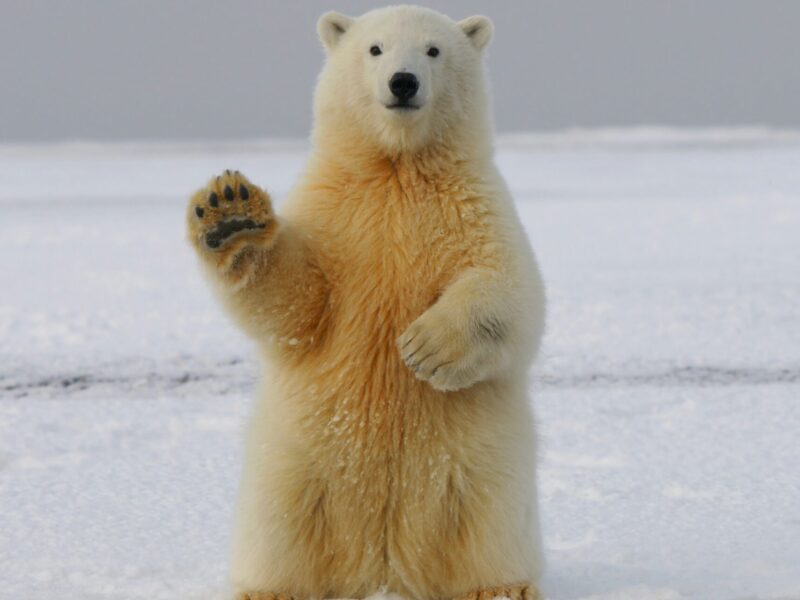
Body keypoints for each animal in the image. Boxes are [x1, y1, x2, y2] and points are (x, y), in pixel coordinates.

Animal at [188, 4, 548, 600]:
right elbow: (298, 301)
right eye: (374, 49)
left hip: (481, 468)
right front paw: (230, 212)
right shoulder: (334, 215)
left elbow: (511, 291)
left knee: (488, 525)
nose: (403, 82)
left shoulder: (476, 207)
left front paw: (425, 347)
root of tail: (383, 566)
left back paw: (500, 587)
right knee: (281, 526)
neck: (396, 168)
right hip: (293, 464)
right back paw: (270, 588)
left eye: (433, 50)